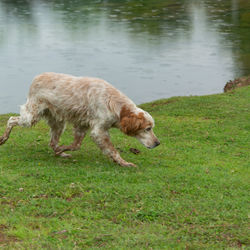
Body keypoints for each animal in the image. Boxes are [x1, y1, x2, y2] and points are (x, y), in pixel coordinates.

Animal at [0, 73, 159, 166]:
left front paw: (62, 149)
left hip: (58, 122)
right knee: (11, 119)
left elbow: (75, 145)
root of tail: (37, 77)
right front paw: (124, 163)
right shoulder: (98, 131)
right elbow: (113, 150)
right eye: (148, 129)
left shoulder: (82, 125)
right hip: (31, 117)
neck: (115, 104)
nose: (157, 143)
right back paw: (3, 138)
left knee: (53, 142)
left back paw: (60, 153)